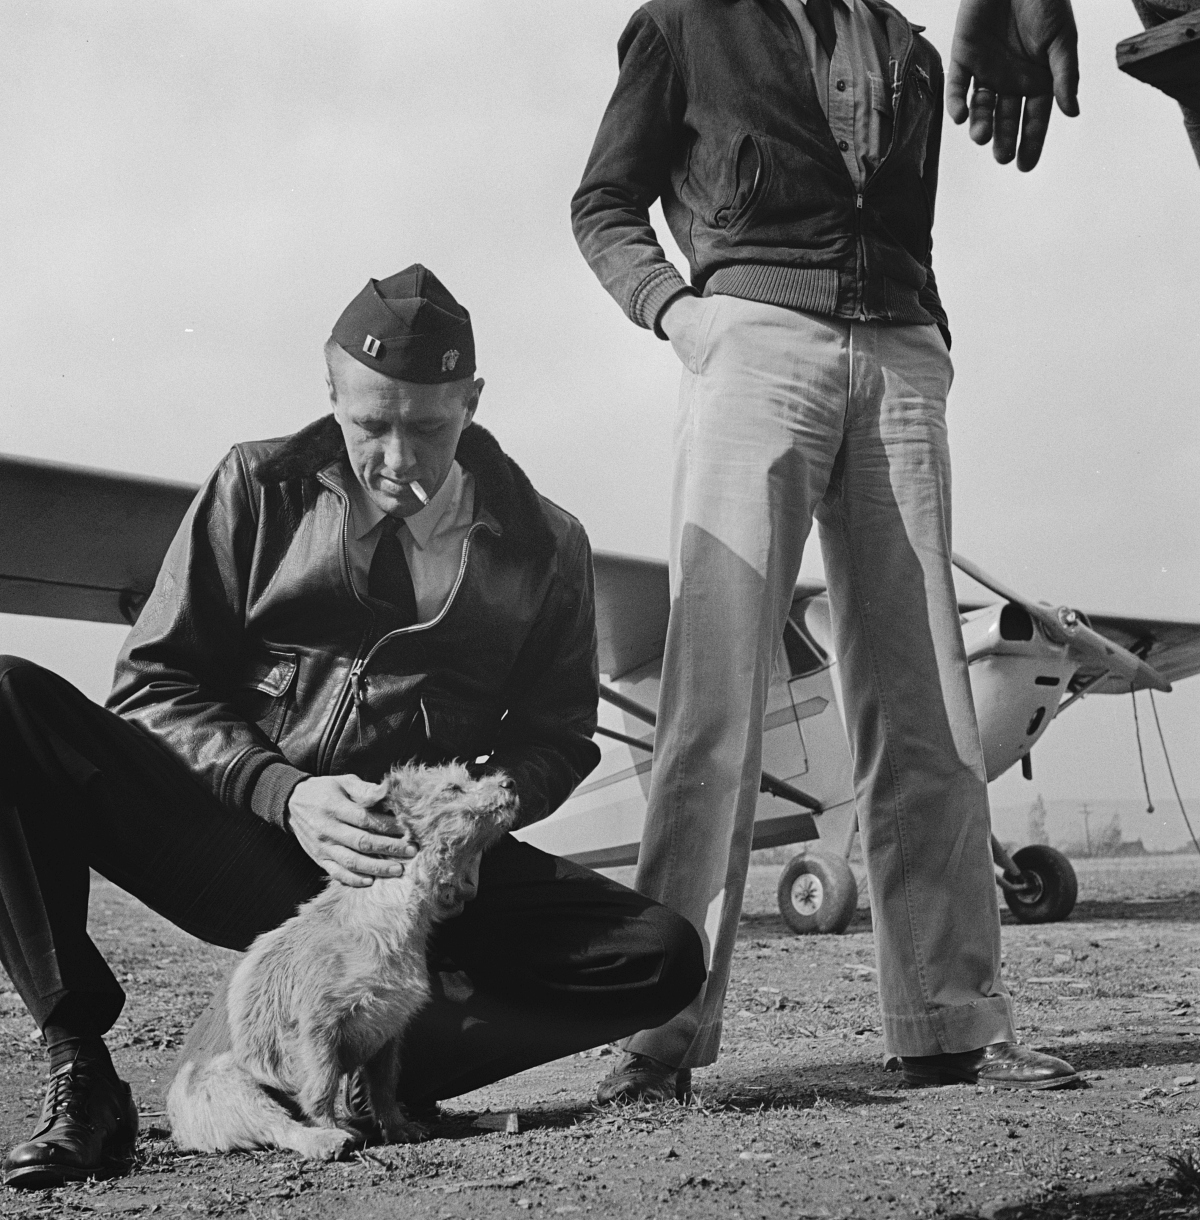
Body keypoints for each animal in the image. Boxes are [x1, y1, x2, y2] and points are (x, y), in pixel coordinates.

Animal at [167, 761, 514, 1161]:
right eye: (452, 789)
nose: (510, 781)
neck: (388, 907)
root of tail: (178, 1129)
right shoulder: (317, 1027)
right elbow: (321, 1088)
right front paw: (332, 1129)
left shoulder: (388, 1030)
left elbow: (384, 1087)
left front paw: (398, 1127)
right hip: (234, 1084)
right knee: (280, 1126)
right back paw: (325, 1139)